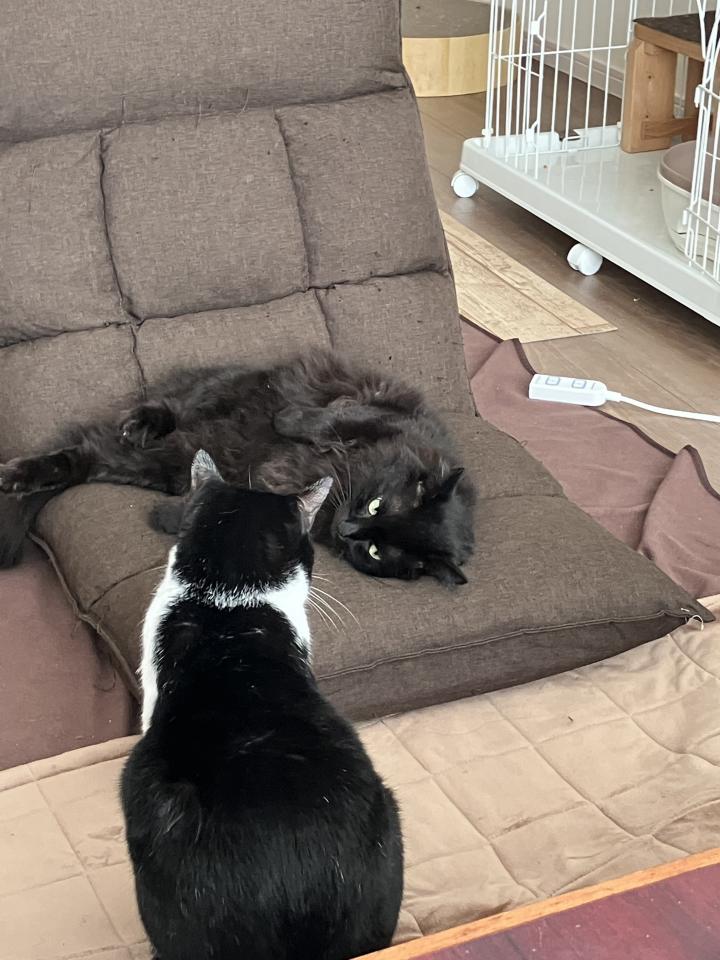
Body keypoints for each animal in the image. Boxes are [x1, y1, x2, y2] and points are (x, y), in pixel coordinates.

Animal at [0, 351, 475, 584]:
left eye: (376, 551)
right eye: (378, 506)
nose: (347, 531)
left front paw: (172, 516)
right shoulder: (380, 414)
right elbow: (319, 420)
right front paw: (288, 421)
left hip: (162, 461)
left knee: (83, 457)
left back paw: (18, 477)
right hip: (216, 395)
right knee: (162, 409)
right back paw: (138, 423)